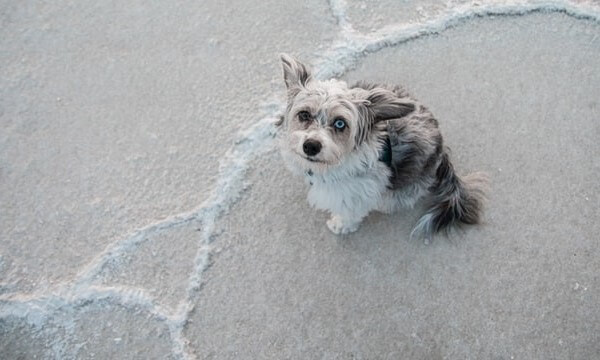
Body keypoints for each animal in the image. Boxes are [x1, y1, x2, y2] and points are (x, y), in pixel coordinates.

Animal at [278, 52, 488, 239]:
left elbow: (350, 212)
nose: (311, 146)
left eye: (339, 123)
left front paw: (340, 225)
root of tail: (442, 151)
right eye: (304, 115)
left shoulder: (359, 192)